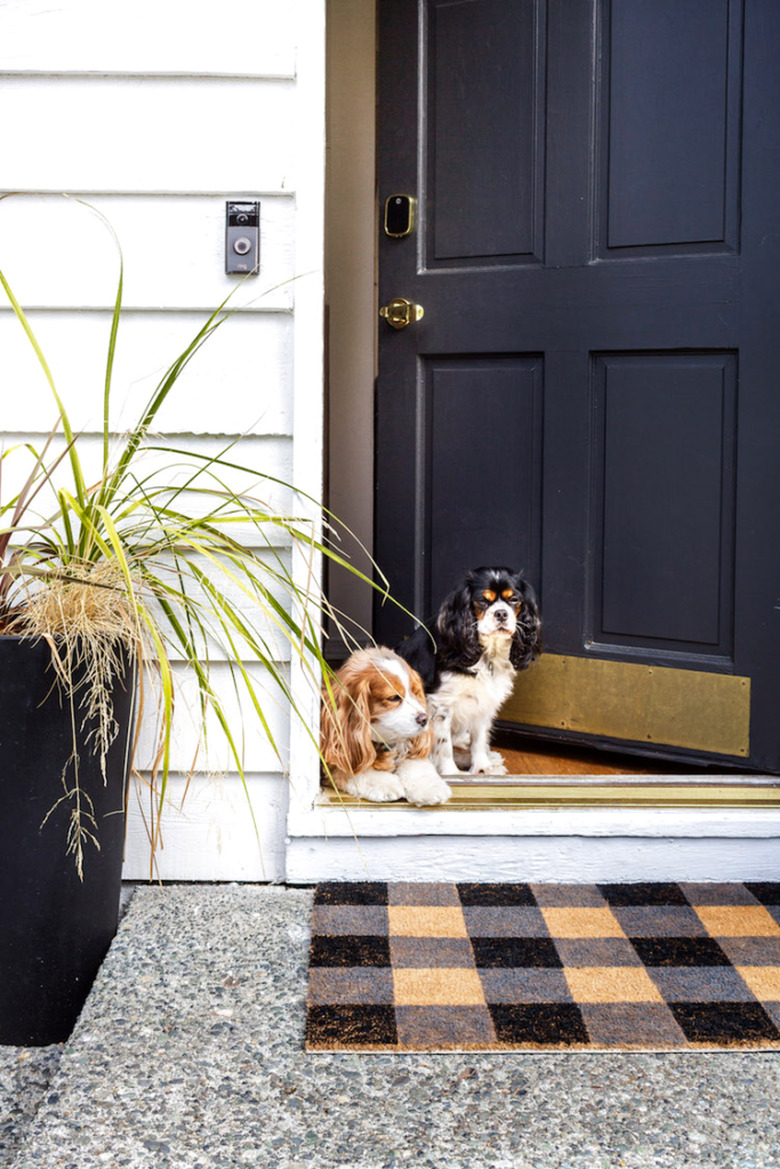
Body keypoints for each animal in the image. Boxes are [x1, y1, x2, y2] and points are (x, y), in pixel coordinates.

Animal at [318, 649, 451, 804]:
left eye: (415, 693)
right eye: (394, 698)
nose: (424, 719)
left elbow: (416, 763)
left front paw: (429, 787)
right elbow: (352, 771)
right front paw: (386, 784)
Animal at [399, 565, 540, 776]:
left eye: (514, 599)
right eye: (483, 600)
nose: (501, 613)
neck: (487, 652)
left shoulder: (483, 702)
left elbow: (479, 739)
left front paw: (482, 767)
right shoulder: (441, 704)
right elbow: (444, 745)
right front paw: (452, 773)